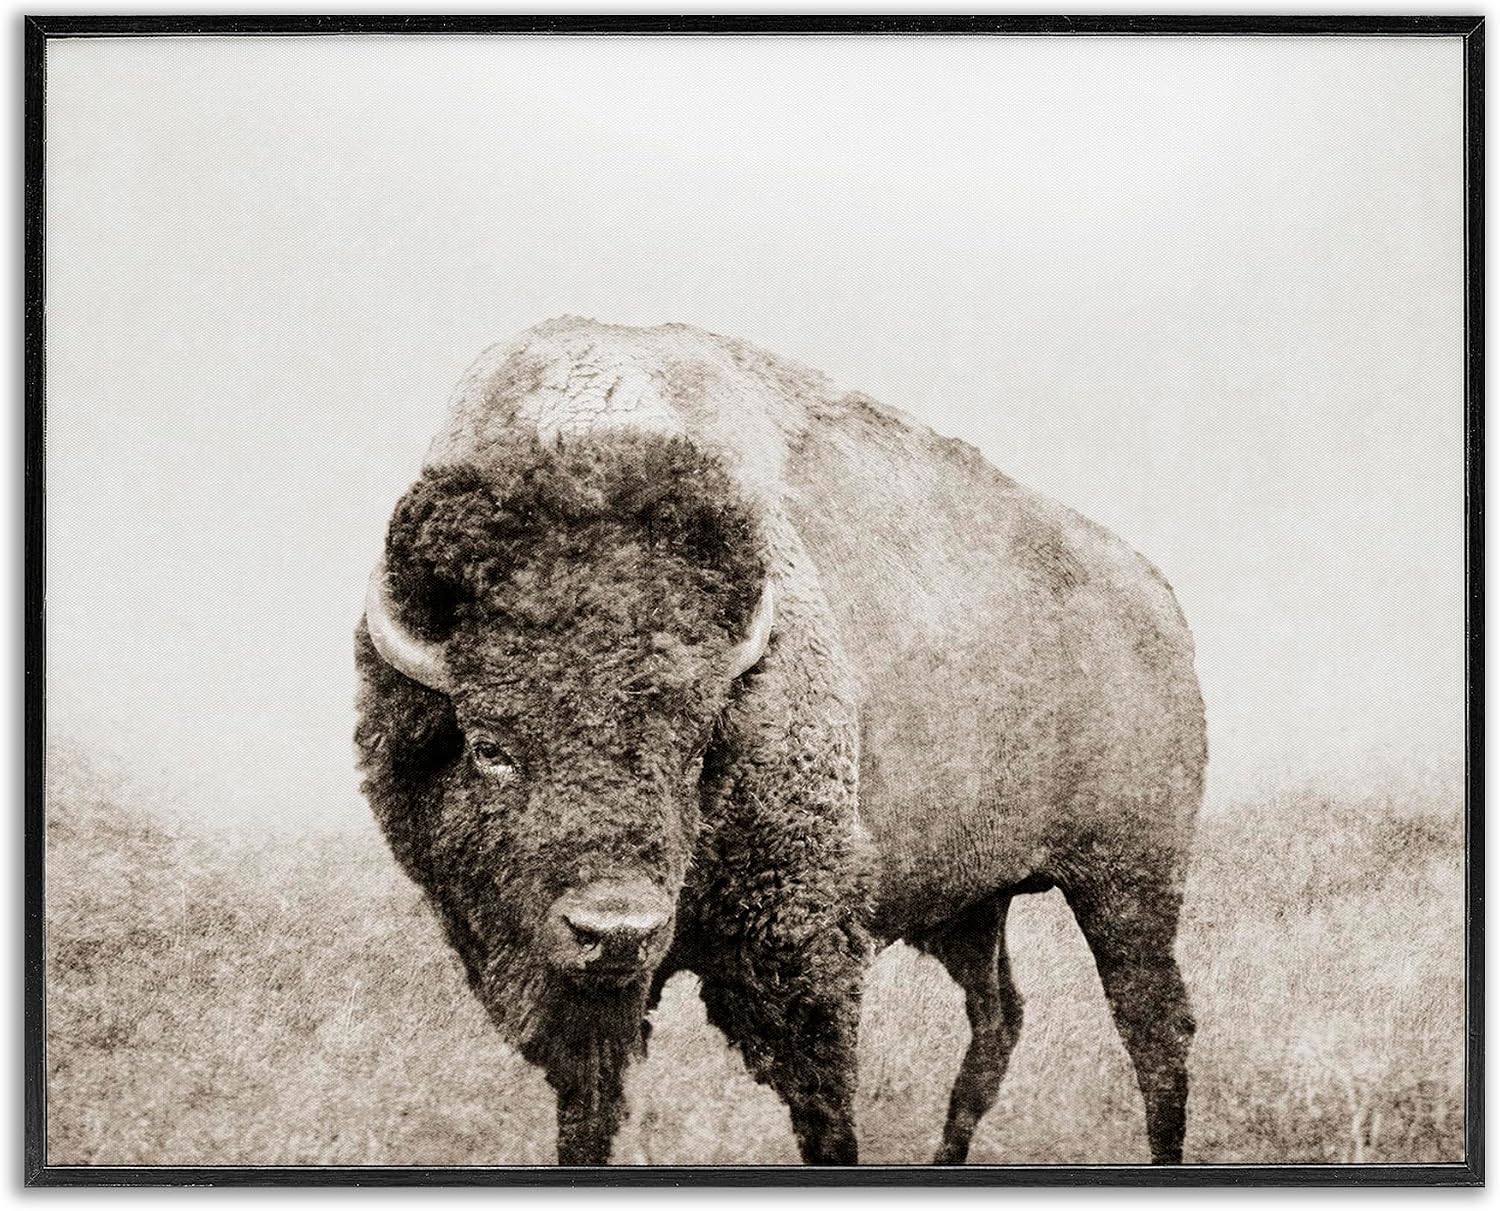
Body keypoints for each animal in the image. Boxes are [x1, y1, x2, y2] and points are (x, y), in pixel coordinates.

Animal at [354, 318, 1205, 1165]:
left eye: (697, 747)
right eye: (490, 746)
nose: (616, 929)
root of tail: (1158, 595)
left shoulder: (801, 946)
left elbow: (824, 1106)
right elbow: (589, 1110)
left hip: (1128, 881)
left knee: (1155, 1025)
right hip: (975, 903)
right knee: (999, 1019)